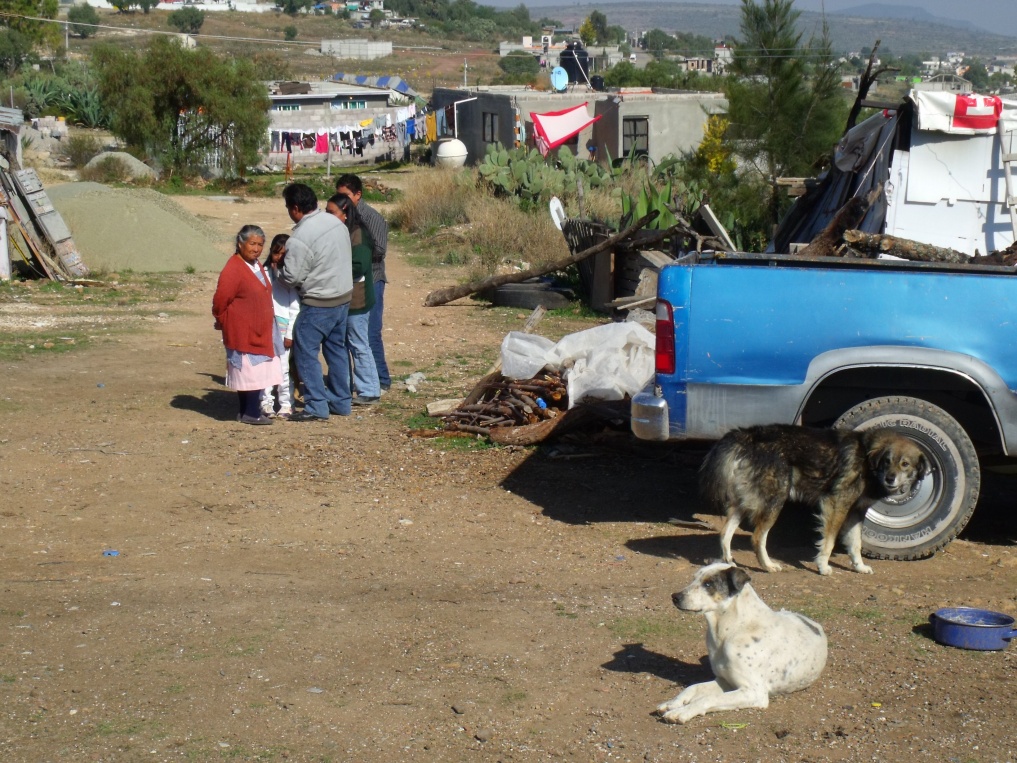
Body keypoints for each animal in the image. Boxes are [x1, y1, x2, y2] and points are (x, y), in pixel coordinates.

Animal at [659, 565, 825, 724]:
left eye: (708, 583)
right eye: (693, 579)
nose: (675, 596)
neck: (730, 630)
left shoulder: (754, 692)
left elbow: (708, 698)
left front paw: (683, 712)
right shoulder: (724, 680)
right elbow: (692, 687)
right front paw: (673, 702)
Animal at [699, 427, 931, 577]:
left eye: (905, 464)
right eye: (887, 461)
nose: (890, 478)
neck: (867, 459)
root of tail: (747, 434)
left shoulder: (856, 511)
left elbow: (855, 543)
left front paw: (859, 566)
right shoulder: (837, 504)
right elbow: (829, 541)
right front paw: (822, 566)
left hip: (746, 501)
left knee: (725, 532)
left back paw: (728, 561)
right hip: (775, 500)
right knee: (757, 538)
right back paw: (768, 566)